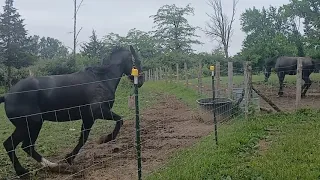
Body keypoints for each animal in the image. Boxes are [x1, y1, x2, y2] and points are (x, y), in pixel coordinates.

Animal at [0, 44, 144, 177]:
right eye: (138, 60)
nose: (141, 81)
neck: (101, 79)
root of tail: (7, 96)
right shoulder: (98, 111)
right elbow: (119, 120)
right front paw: (105, 139)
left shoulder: (88, 118)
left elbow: (83, 138)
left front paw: (69, 158)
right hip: (31, 124)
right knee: (13, 145)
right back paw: (26, 171)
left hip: (30, 126)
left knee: (25, 146)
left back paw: (53, 166)